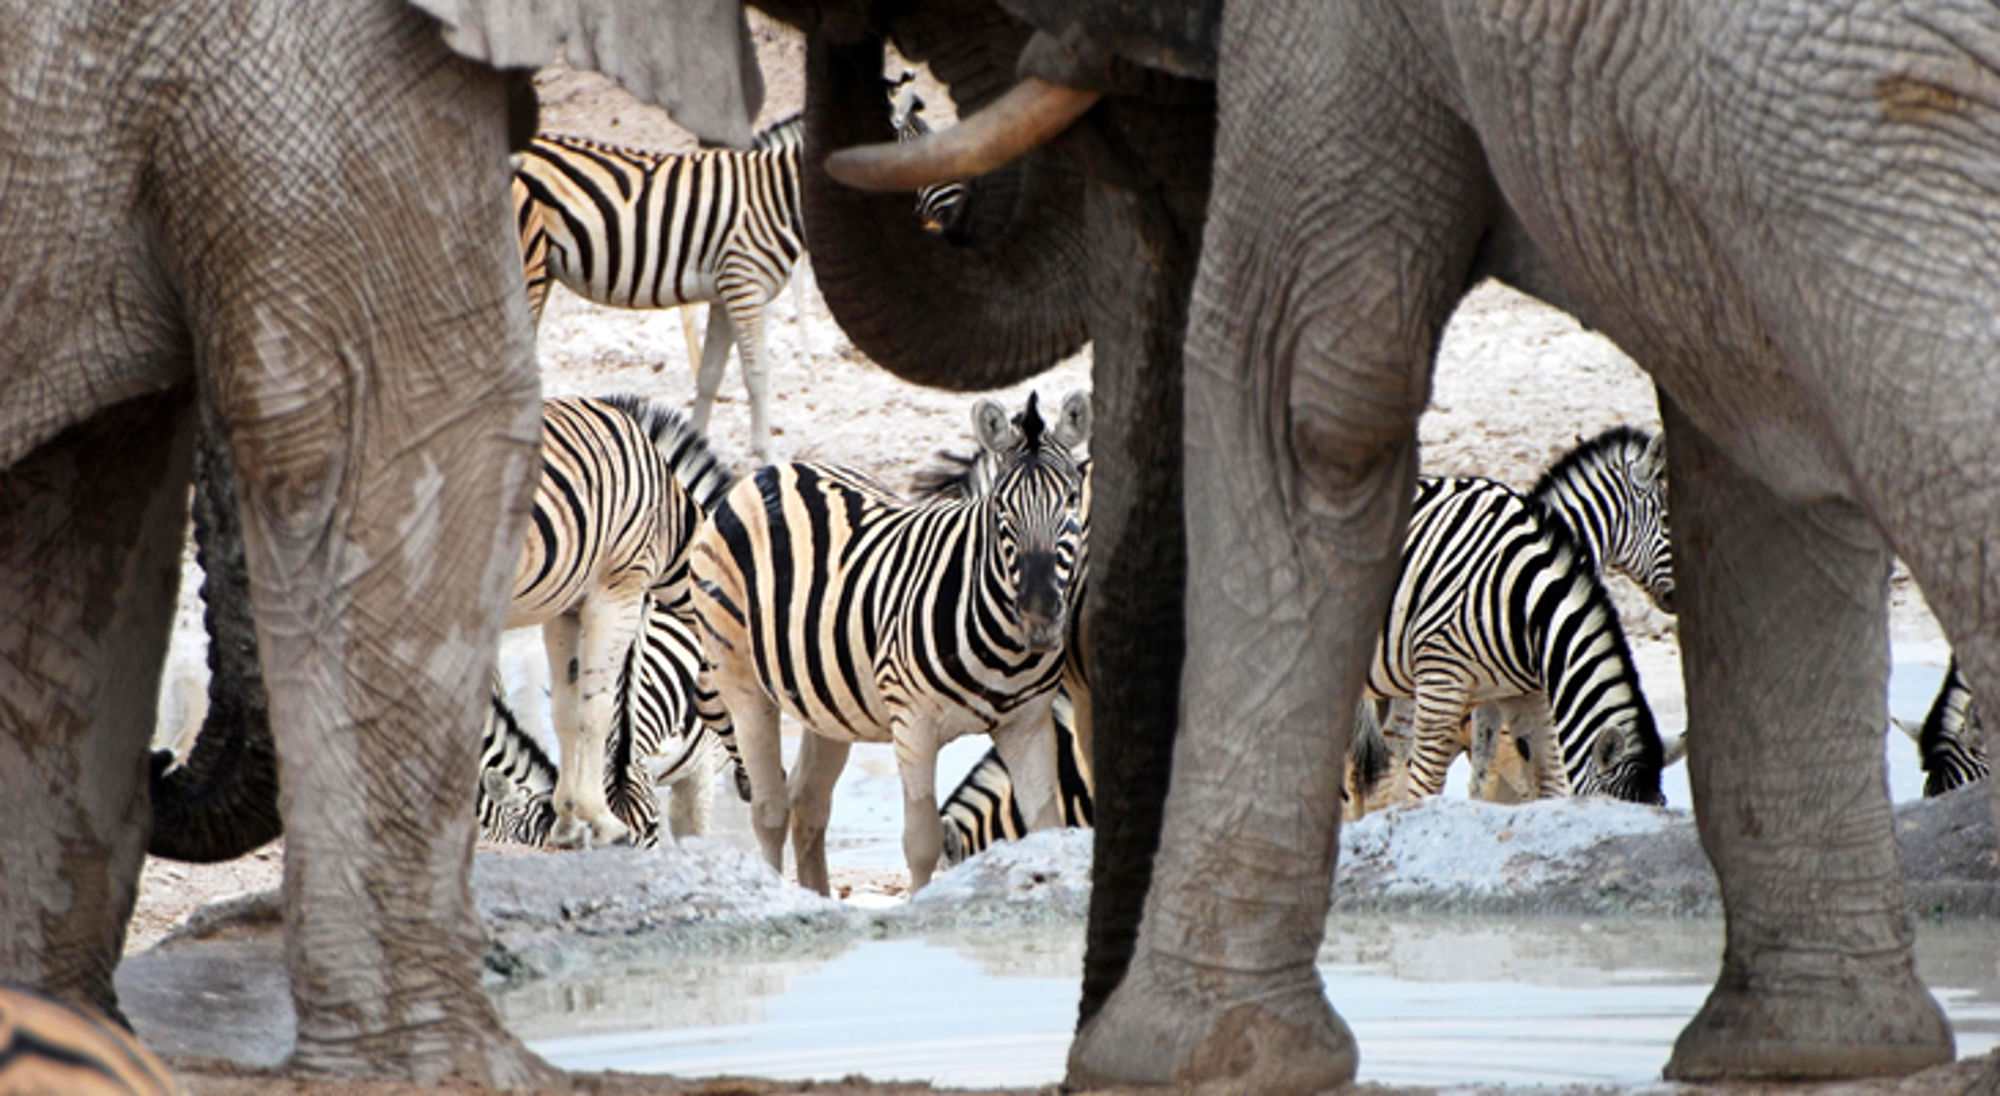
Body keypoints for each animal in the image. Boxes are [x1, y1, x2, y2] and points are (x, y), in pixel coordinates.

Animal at [505, 393, 719, 848]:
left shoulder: (565, 609)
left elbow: (566, 710)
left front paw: (568, 820)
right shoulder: (617, 592)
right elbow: (597, 707)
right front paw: (601, 818)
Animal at [691, 390, 1091, 894]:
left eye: (1072, 500)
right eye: (1001, 507)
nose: (1039, 613)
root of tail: (772, 471)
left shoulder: (1028, 723)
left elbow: (1045, 829)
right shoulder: (914, 725)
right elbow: (921, 842)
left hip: (827, 701)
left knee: (808, 802)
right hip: (741, 680)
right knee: (769, 811)